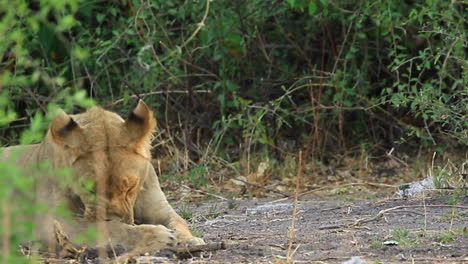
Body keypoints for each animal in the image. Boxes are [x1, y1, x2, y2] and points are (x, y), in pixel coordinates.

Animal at [0, 100, 205, 255]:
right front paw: (158, 236)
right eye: (90, 189)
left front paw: (189, 240)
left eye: (130, 187)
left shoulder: (158, 206)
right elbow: (107, 228)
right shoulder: (49, 222)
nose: (112, 217)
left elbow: (179, 221)